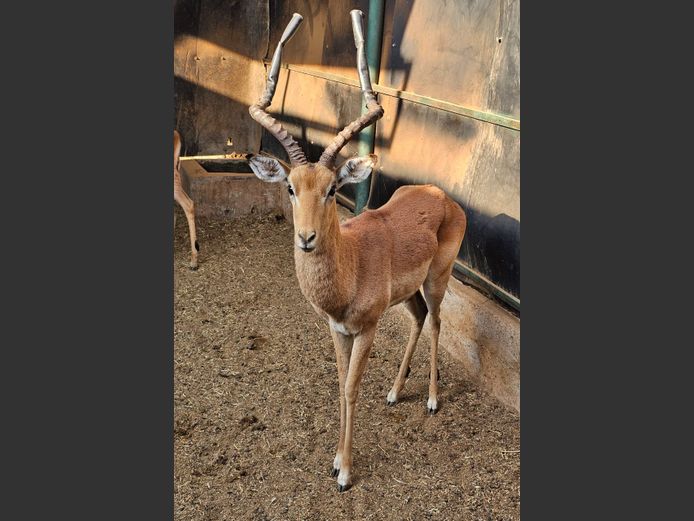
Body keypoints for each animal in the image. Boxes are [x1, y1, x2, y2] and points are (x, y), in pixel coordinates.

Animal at [248, 11, 466, 492]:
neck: (350, 270)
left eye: (333, 189)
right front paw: (335, 459)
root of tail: (442, 196)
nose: (306, 238)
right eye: (290, 188)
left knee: (437, 322)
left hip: (437, 280)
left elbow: (350, 388)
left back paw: (431, 400)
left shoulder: (366, 328)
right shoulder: (338, 329)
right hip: (408, 294)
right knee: (419, 319)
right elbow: (338, 382)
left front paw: (345, 471)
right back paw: (394, 392)